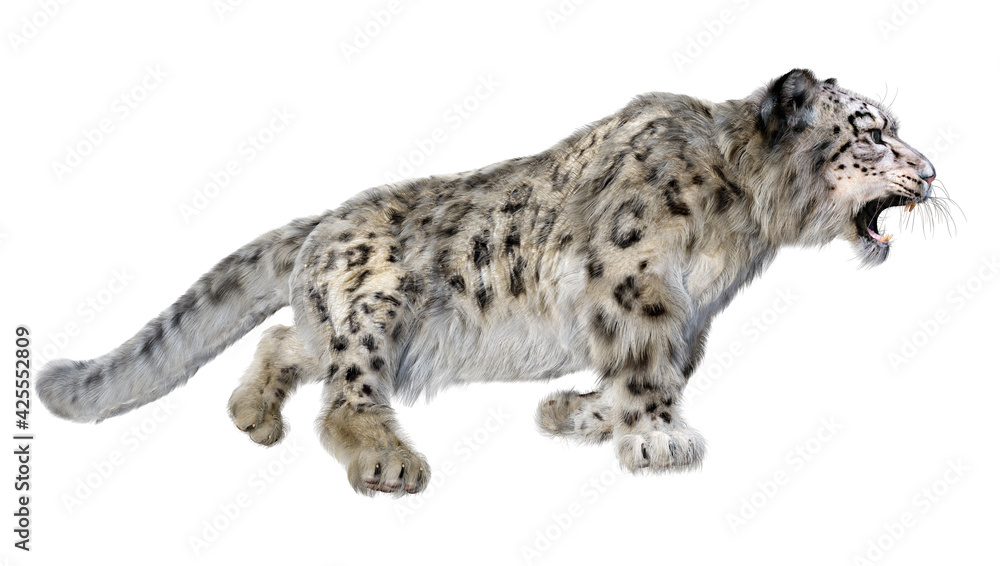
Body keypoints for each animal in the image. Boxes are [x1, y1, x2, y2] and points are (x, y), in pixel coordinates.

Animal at [37, 69, 944, 496]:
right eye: (872, 134)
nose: (932, 173)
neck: (739, 227)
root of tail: (325, 220)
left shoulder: (690, 310)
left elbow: (657, 365)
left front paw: (579, 414)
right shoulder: (637, 282)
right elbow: (648, 364)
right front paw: (658, 438)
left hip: (332, 315)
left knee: (284, 337)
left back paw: (254, 414)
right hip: (380, 304)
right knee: (344, 386)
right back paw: (385, 458)